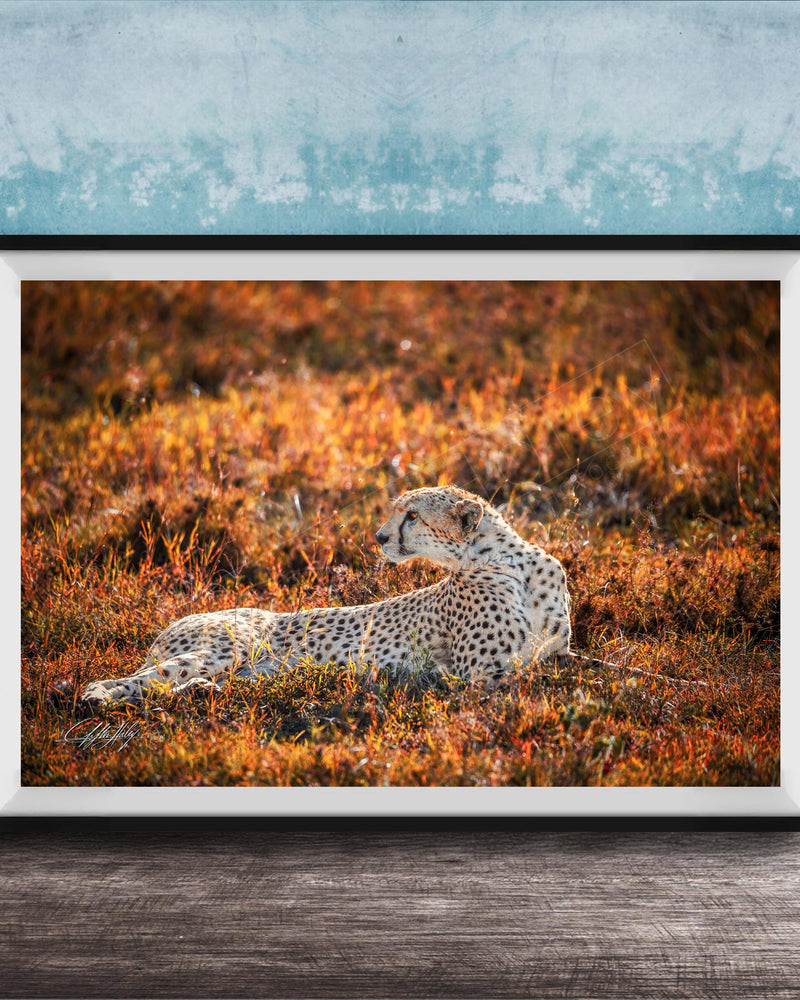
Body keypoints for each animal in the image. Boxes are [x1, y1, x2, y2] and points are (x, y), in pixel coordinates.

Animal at [79, 485, 572, 706]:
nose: (379, 537)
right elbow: (535, 682)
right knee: (134, 681)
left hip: (247, 670)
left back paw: (200, 693)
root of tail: (169, 624)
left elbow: (576, 666)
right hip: (226, 647)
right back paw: (97, 696)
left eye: (412, 515)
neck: (508, 563)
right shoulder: (480, 676)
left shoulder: (555, 654)